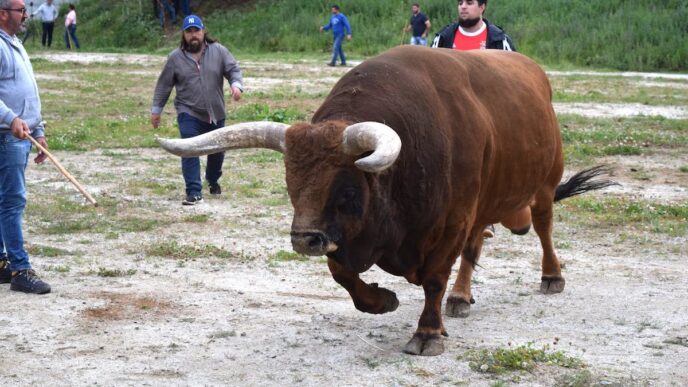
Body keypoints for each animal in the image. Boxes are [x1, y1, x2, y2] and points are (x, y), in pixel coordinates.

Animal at [160, 46, 612, 358]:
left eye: (346, 190)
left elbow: (433, 279)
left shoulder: (450, 223)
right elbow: (342, 274)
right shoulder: (351, 236)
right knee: (475, 247)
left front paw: (428, 333)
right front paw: (382, 301)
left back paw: (551, 276)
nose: (303, 240)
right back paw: (461, 297)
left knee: (544, 227)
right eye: (291, 183)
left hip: (543, 185)